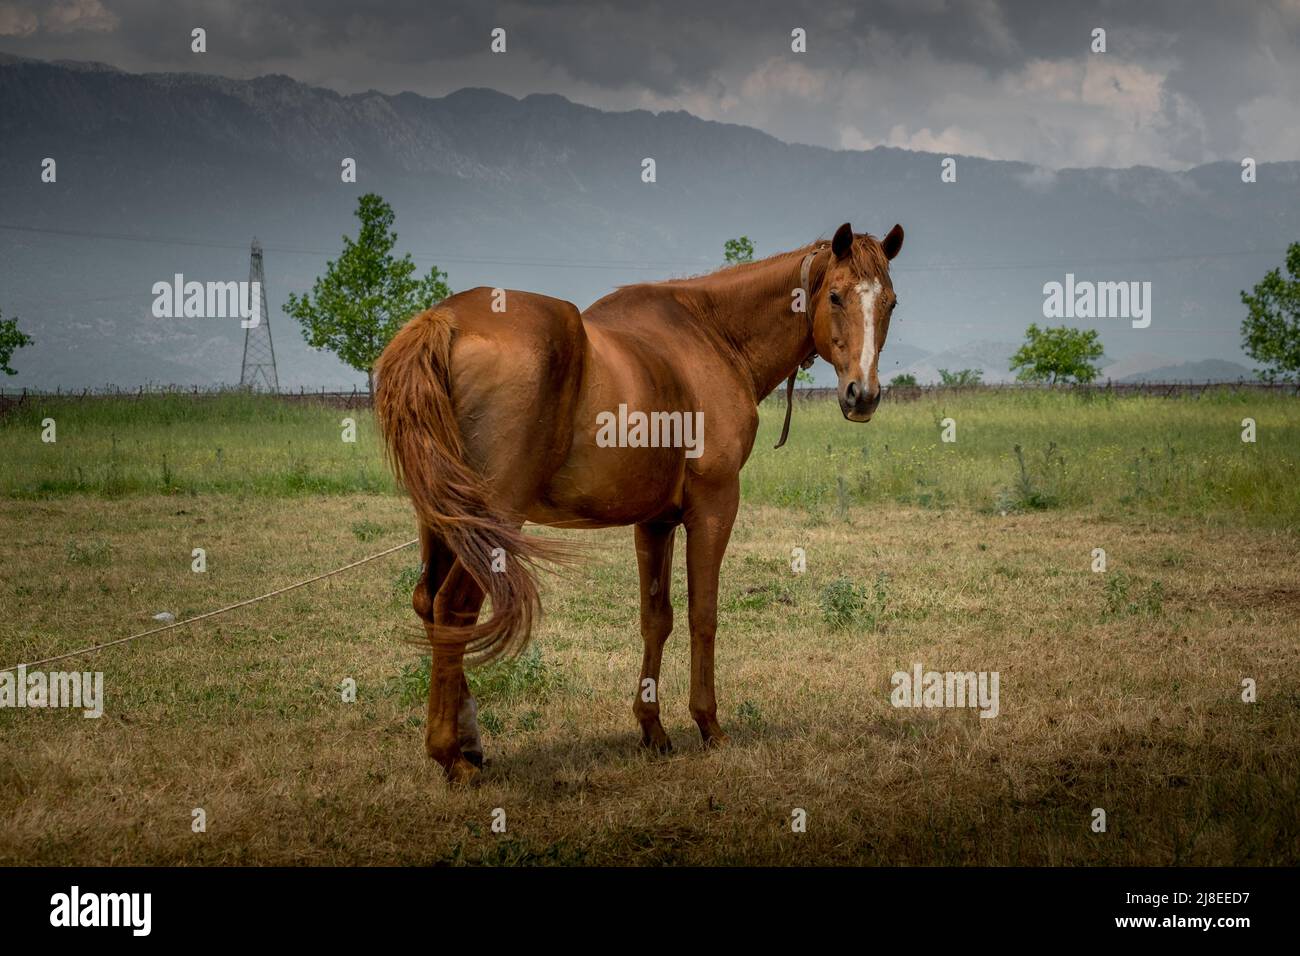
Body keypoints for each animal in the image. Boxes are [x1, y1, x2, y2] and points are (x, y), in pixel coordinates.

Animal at [374, 221, 904, 784]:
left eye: (890, 302)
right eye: (835, 296)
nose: (863, 395)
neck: (711, 334)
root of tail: (443, 321)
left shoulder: (655, 522)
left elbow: (657, 618)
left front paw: (652, 727)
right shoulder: (714, 508)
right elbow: (702, 615)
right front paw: (708, 725)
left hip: (443, 521)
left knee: (428, 603)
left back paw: (469, 741)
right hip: (490, 522)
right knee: (453, 609)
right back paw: (451, 754)